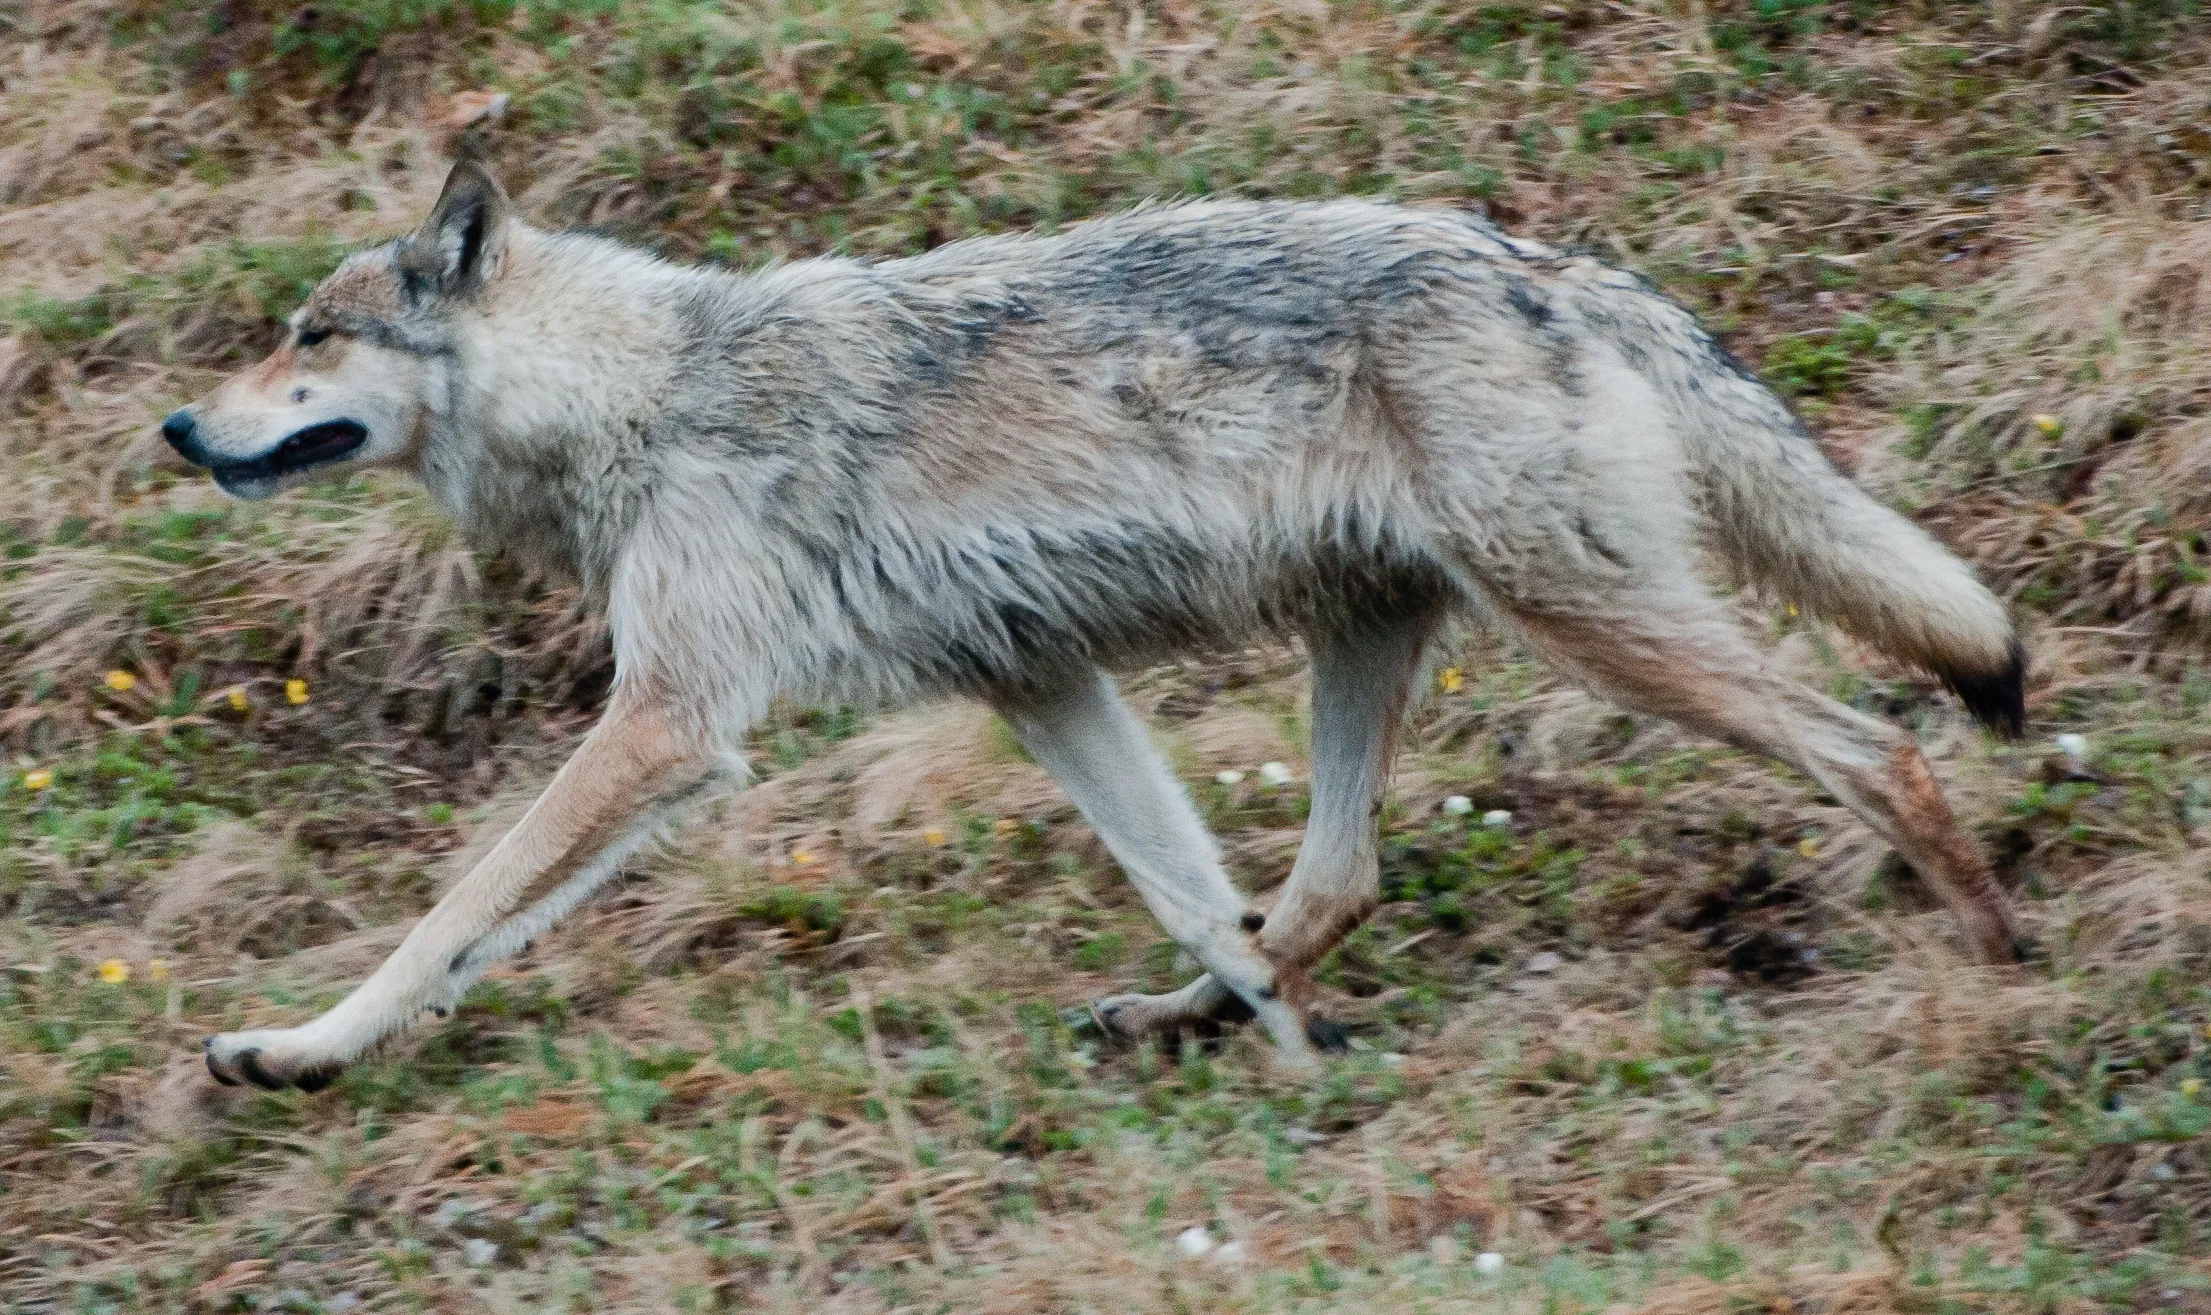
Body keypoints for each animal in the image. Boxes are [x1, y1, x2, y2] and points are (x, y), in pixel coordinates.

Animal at [160, 162, 2025, 1091]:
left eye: (308, 337)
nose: (179, 428)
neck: (650, 398)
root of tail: (1555, 263)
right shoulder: (1039, 683)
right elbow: (1194, 890)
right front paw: (1294, 1064)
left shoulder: (672, 725)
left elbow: (450, 914)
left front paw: (298, 1049)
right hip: (1375, 638)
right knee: (1322, 888)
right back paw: (1197, 1022)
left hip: (1592, 621)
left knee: (1876, 750)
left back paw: (2003, 962)